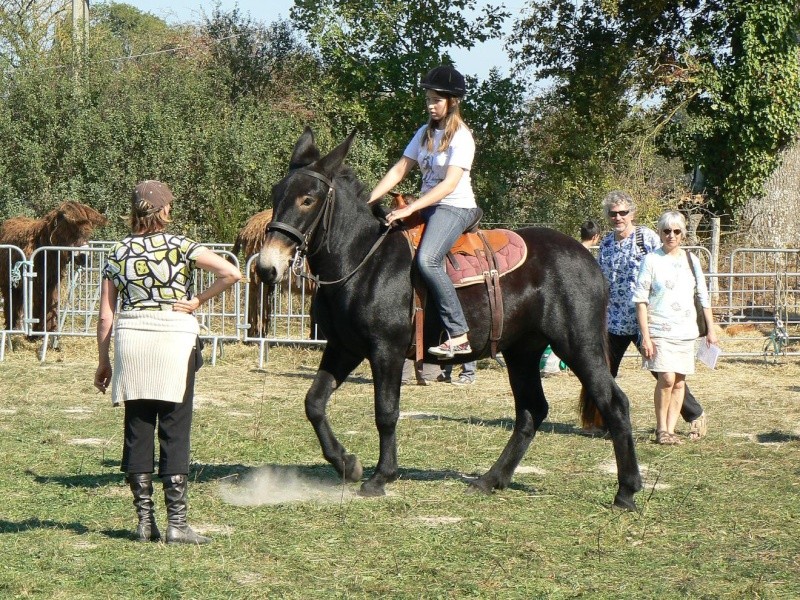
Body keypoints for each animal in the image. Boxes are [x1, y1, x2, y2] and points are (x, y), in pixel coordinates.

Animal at [0, 202, 106, 332]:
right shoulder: (37, 282)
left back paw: (16, 327)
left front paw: (49, 329)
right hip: (7, 280)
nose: (84, 258)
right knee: (10, 301)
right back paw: (11, 327)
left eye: (87, 234)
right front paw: (36, 332)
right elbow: (38, 304)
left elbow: (50, 305)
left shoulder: (52, 282)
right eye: (71, 231)